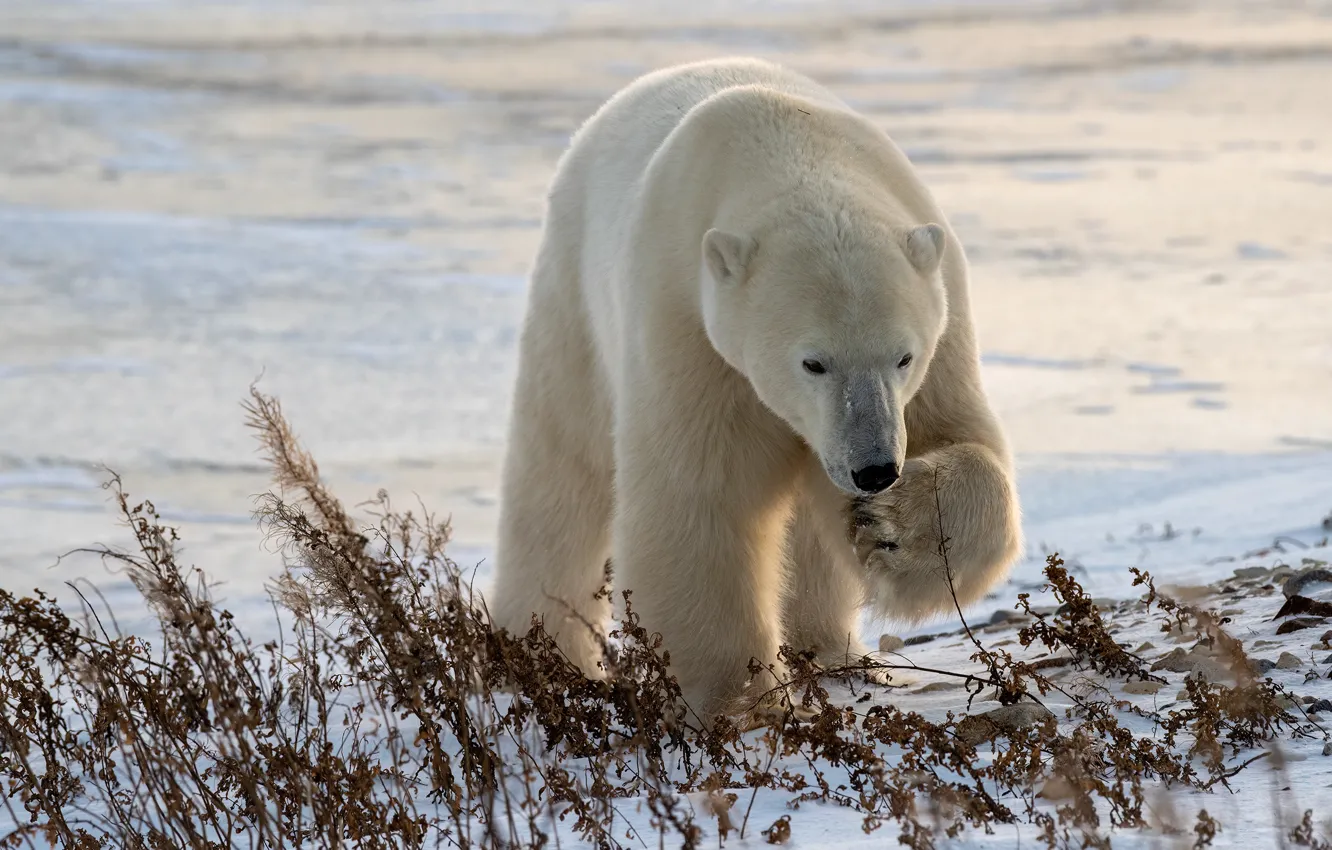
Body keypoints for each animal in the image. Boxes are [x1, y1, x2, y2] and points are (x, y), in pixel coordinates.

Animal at [490, 58, 1017, 724]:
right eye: (813, 362)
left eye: (904, 356)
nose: (874, 469)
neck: (787, 141)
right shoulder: (691, 329)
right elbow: (702, 499)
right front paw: (739, 702)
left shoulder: (939, 321)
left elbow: (957, 436)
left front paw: (890, 528)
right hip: (574, 296)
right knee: (560, 477)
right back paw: (541, 656)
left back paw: (838, 653)